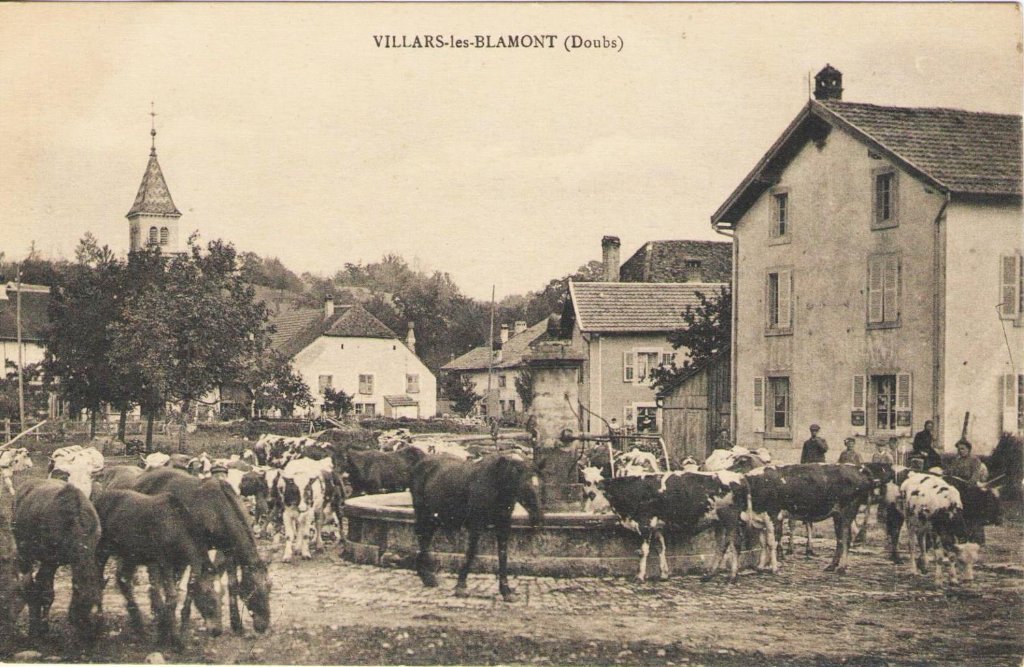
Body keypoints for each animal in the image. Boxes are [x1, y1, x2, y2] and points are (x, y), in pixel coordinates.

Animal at [13, 479, 105, 643]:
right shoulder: (50, 561)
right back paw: (34, 625)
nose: (90, 639)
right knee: (29, 585)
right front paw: (41, 629)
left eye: (99, 608)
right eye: (83, 609)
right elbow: (46, 594)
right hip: (25, 552)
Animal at [132, 467, 272, 635]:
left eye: (269, 587)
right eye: (253, 587)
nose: (263, 625)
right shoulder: (199, 550)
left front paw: (236, 623)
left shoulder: (228, 550)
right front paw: (184, 621)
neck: (218, 509)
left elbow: (232, 584)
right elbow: (192, 585)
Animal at [411, 456, 548, 602]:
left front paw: (506, 591)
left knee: (425, 539)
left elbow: (503, 555)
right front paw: (461, 587)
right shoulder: (476, 526)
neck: (496, 485)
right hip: (423, 513)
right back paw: (427, 576)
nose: (538, 518)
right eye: (525, 486)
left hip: (435, 516)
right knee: (422, 537)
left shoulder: (503, 526)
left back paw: (426, 576)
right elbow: (471, 553)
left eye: (542, 486)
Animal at [598, 469, 749, 586]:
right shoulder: (656, 528)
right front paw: (664, 575)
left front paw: (639, 577)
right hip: (719, 523)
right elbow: (660, 548)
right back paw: (708, 576)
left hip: (730, 519)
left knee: (736, 543)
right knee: (722, 545)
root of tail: (739, 477)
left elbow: (643, 551)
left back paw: (732, 577)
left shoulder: (645, 524)